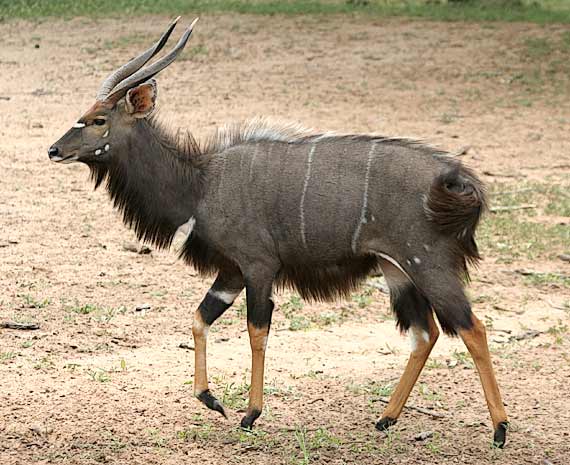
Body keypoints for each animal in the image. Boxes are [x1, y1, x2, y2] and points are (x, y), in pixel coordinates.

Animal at [48, 17, 508, 446]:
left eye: (97, 119)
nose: (54, 149)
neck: (200, 185)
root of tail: (456, 181)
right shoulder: (230, 271)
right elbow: (199, 320)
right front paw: (211, 399)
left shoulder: (258, 266)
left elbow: (256, 331)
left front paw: (250, 414)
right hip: (396, 269)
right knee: (425, 332)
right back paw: (385, 418)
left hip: (427, 264)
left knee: (472, 328)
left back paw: (500, 429)